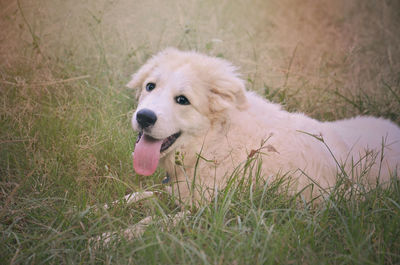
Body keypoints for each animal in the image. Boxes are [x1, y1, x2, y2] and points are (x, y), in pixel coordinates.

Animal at [127, 47, 400, 203]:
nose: (144, 117)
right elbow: (140, 196)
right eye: (150, 86)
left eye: (182, 100)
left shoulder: (207, 210)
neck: (216, 141)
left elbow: (153, 225)